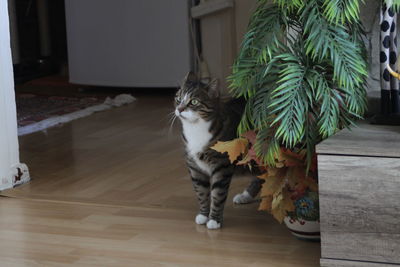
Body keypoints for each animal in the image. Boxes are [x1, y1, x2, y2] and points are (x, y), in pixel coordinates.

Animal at [174, 73, 262, 230]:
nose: (180, 109)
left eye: (194, 101)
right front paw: (203, 215)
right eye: (178, 98)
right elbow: (201, 192)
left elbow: (218, 193)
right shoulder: (194, 166)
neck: (196, 129)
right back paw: (245, 195)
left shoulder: (222, 165)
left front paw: (214, 220)